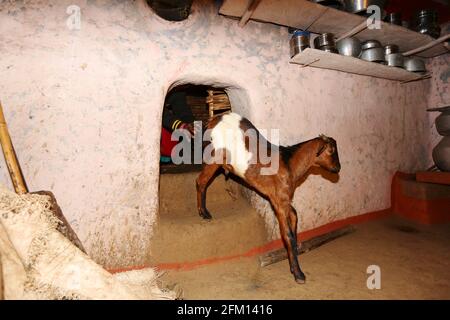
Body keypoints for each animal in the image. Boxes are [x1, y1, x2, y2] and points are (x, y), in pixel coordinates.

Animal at [197, 112, 342, 282]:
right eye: (331, 150)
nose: (338, 167)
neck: (290, 163)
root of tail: (214, 119)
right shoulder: (279, 202)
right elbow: (288, 235)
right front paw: (298, 273)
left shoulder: (284, 200)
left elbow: (294, 218)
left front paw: (293, 263)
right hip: (213, 158)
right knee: (200, 182)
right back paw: (204, 213)